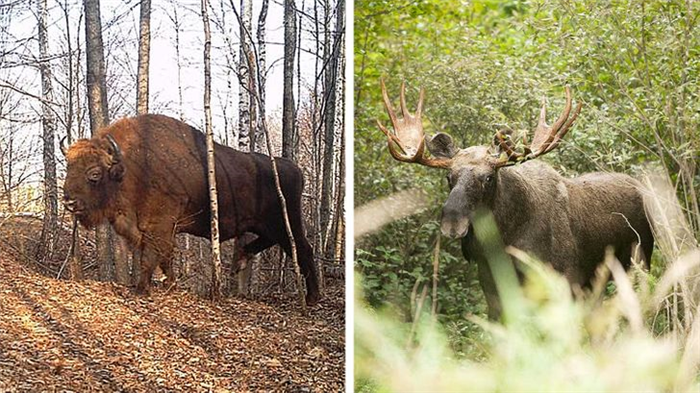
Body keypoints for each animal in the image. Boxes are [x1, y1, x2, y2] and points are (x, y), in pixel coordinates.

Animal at [61, 113, 322, 304]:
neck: (130, 167)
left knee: (303, 249)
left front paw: (141, 289)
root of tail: (294, 169)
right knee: (270, 242)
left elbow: (151, 256)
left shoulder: (160, 225)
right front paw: (169, 284)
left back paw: (312, 298)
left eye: (94, 174)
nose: (69, 202)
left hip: (285, 222)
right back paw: (241, 260)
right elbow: (165, 256)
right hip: (265, 224)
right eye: (69, 167)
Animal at [378, 80, 656, 318]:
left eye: (489, 177)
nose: (452, 223)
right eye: (449, 176)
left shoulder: (566, 282)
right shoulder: (493, 290)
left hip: (640, 261)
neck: (505, 242)